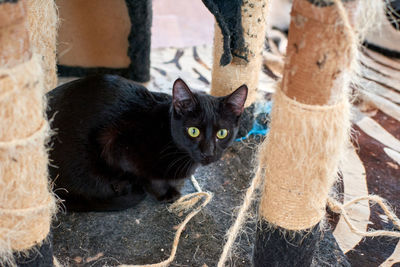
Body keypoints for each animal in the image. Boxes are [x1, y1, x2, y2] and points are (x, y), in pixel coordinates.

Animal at [47, 75, 247, 211]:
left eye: (222, 133)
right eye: (193, 131)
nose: (208, 152)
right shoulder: (117, 144)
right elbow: (149, 176)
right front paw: (165, 194)